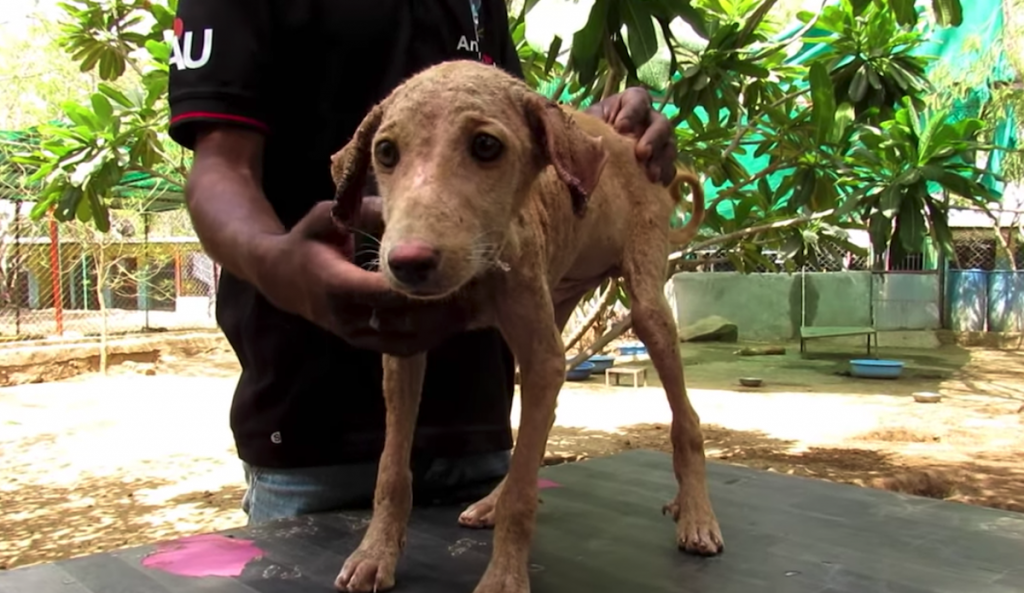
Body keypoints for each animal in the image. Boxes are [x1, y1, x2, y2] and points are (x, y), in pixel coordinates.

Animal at [327, 61, 720, 593]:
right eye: (385, 152)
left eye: (486, 146)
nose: (406, 263)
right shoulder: (404, 348)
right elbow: (391, 468)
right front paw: (375, 553)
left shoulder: (539, 354)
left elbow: (521, 493)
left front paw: (503, 577)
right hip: (558, 301)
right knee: (538, 432)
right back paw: (493, 500)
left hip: (645, 306)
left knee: (686, 419)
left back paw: (697, 515)